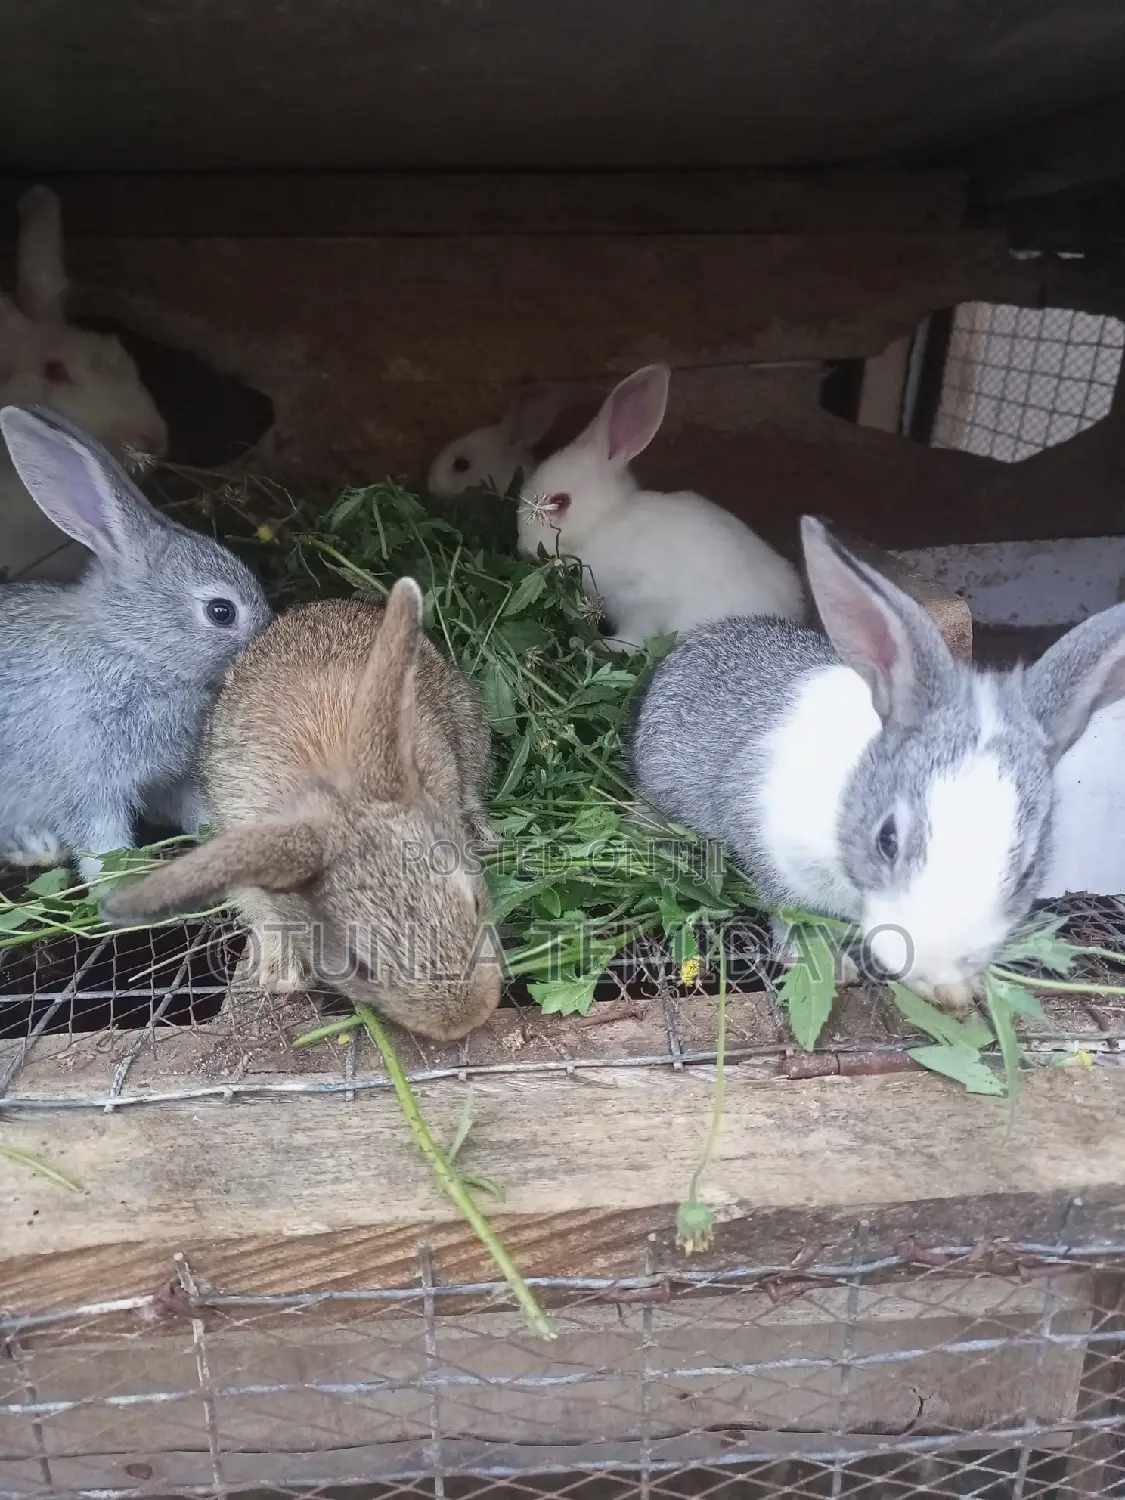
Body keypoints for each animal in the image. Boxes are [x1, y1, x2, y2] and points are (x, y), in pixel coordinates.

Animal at [0, 402, 271, 884]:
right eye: (222, 611)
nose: (268, 634)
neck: (131, 649)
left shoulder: (169, 778)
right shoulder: (87, 785)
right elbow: (100, 844)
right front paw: (124, 881)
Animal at [517, 363, 807, 650]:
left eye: (560, 501)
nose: (524, 548)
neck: (606, 521)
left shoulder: (642, 602)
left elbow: (633, 639)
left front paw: (603, 644)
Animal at [631, 514, 1125, 1013]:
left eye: (1027, 870)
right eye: (887, 840)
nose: (937, 967)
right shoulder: (771, 851)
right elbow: (789, 913)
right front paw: (829, 965)